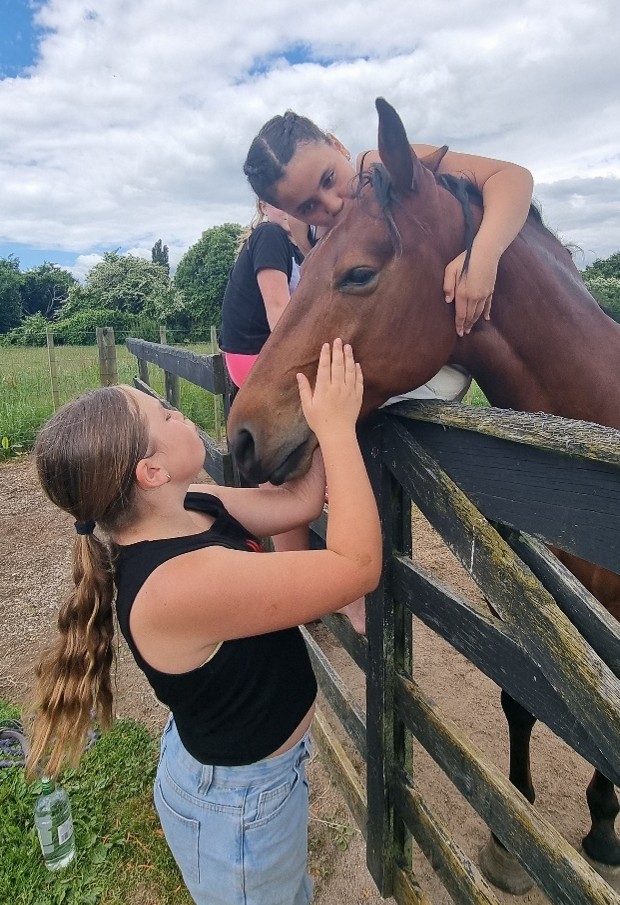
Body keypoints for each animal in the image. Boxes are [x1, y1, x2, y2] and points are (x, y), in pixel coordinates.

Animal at [226, 97, 620, 894]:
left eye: (358, 271)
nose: (242, 436)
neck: (587, 488)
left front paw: (599, 828)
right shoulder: (522, 595)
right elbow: (521, 696)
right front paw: (511, 838)